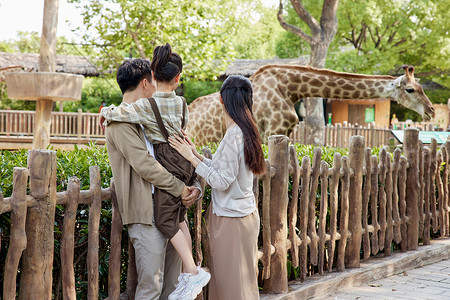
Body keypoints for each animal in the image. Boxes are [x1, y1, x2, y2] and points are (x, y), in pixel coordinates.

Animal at [185, 65, 432, 145]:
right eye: (410, 90)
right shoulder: (271, 131)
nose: (430, 110)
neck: (291, 88)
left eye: (421, 86)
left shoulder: (284, 132)